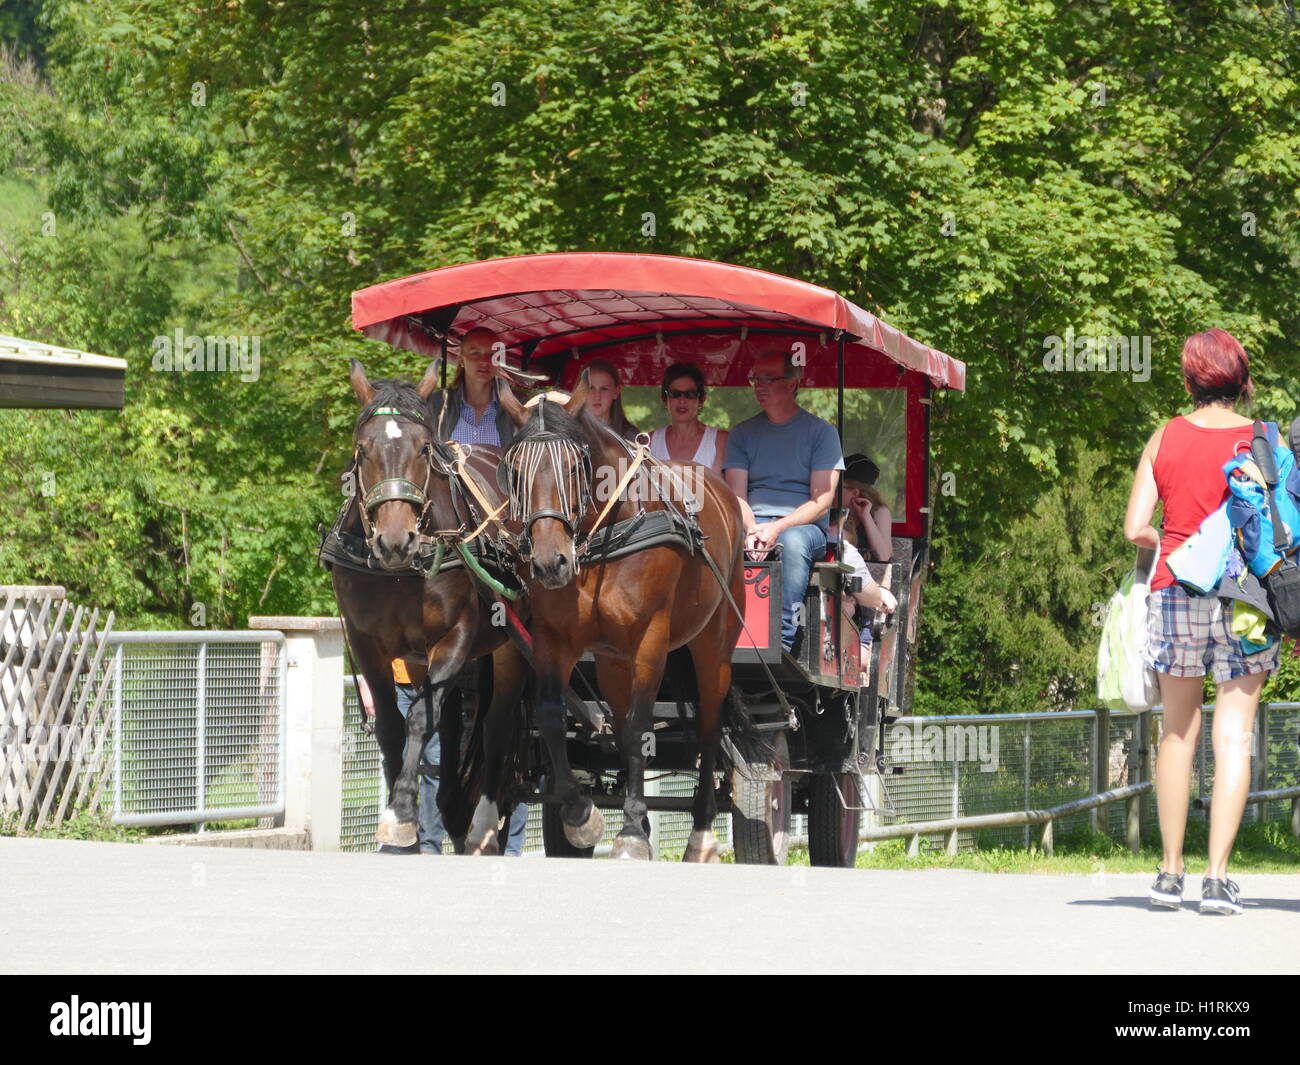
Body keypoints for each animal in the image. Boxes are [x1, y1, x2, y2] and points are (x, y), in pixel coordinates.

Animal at [332, 361, 530, 853]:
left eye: (424, 448)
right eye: (362, 450)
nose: (395, 540)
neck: (403, 571)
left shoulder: (454, 637)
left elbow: (421, 720)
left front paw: (403, 810)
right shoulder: (367, 644)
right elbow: (391, 725)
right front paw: (397, 822)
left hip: (512, 648)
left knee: (497, 727)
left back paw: (482, 824)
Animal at [499, 379, 759, 863]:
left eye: (576, 466)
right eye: (515, 470)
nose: (549, 562)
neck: (608, 529)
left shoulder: (649, 639)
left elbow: (640, 728)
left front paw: (634, 833)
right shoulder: (553, 639)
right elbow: (552, 716)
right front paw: (582, 814)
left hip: (714, 645)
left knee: (709, 726)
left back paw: (701, 833)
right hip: (611, 660)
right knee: (619, 724)